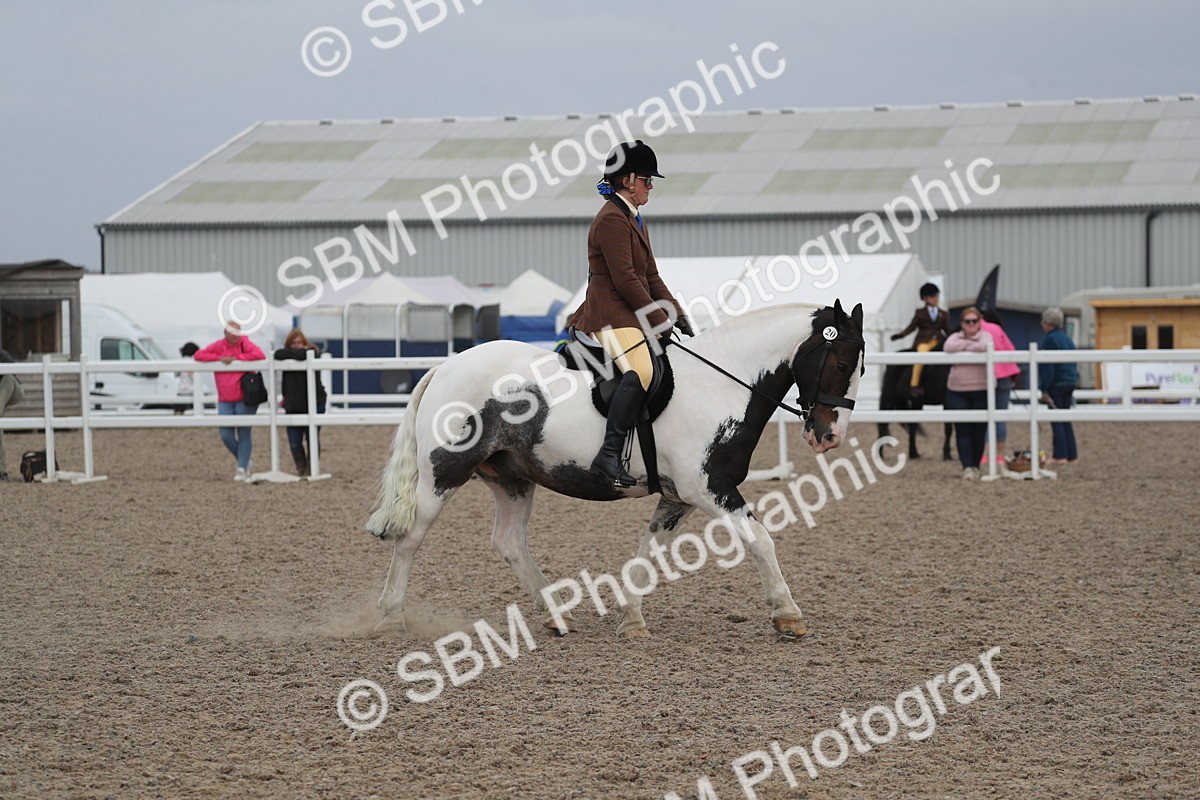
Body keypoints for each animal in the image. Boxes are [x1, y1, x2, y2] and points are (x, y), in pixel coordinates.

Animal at [366, 300, 866, 639]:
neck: (720, 383)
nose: (830, 436)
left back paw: (556, 615)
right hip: (444, 473)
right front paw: (788, 613)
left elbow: (649, 551)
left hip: (513, 480)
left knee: (509, 543)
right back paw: (389, 616)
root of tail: (445, 367)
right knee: (410, 538)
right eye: (842, 362)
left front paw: (632, 618)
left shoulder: (679, 496)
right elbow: (760, 539)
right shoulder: (709, 489)